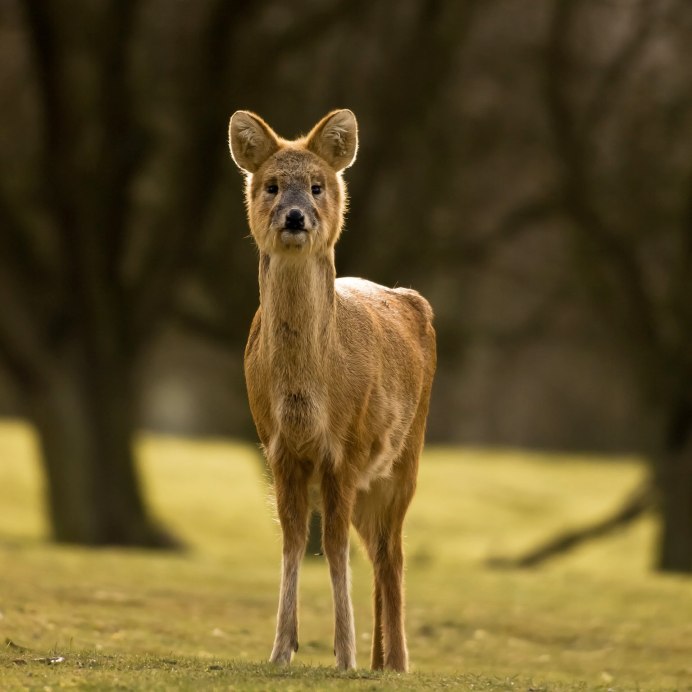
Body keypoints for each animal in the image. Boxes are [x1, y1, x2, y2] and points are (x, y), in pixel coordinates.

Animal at [227, 108, 436, 672]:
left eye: (318, 185)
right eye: (272, 186)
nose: (296, 217)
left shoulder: (345, 446)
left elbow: (334, 546)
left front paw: (343, 655)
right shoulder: (276, 446)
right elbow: (294, 540)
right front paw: (282, 650)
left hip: (405, 455)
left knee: (392, 551)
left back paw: (397, 662)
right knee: (378, 549)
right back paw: (381, 660)